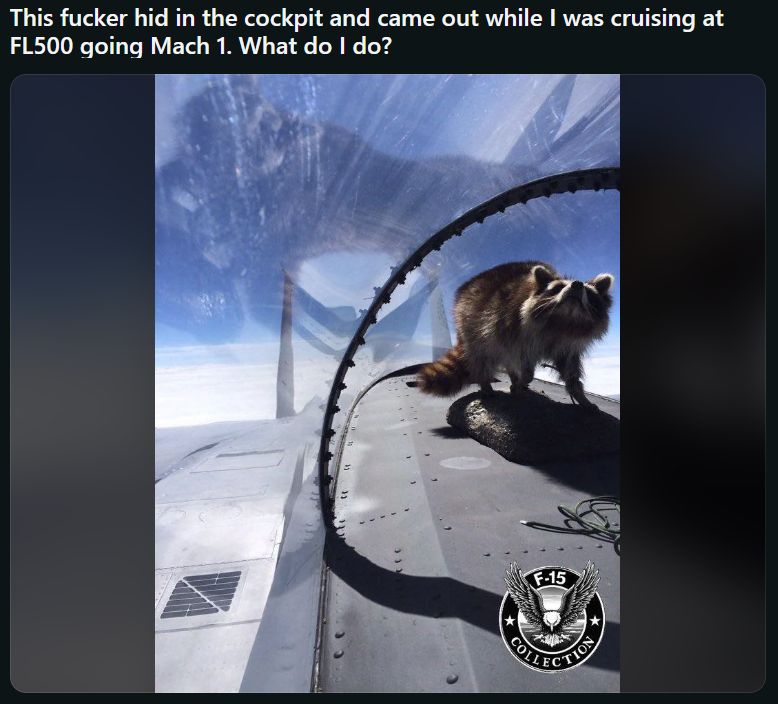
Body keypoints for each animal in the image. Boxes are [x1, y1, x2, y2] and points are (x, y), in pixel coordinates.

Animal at [417, 261, 614, 407]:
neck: (564, 320)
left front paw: (579, 395)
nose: (577, 284)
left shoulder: (569, 344)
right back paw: (486, 383)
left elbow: (570, 369)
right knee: (482, 356)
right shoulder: (517, 330)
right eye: (557, 287)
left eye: (588, 291)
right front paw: (522, 380)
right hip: (473, 324)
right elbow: (525, 364)